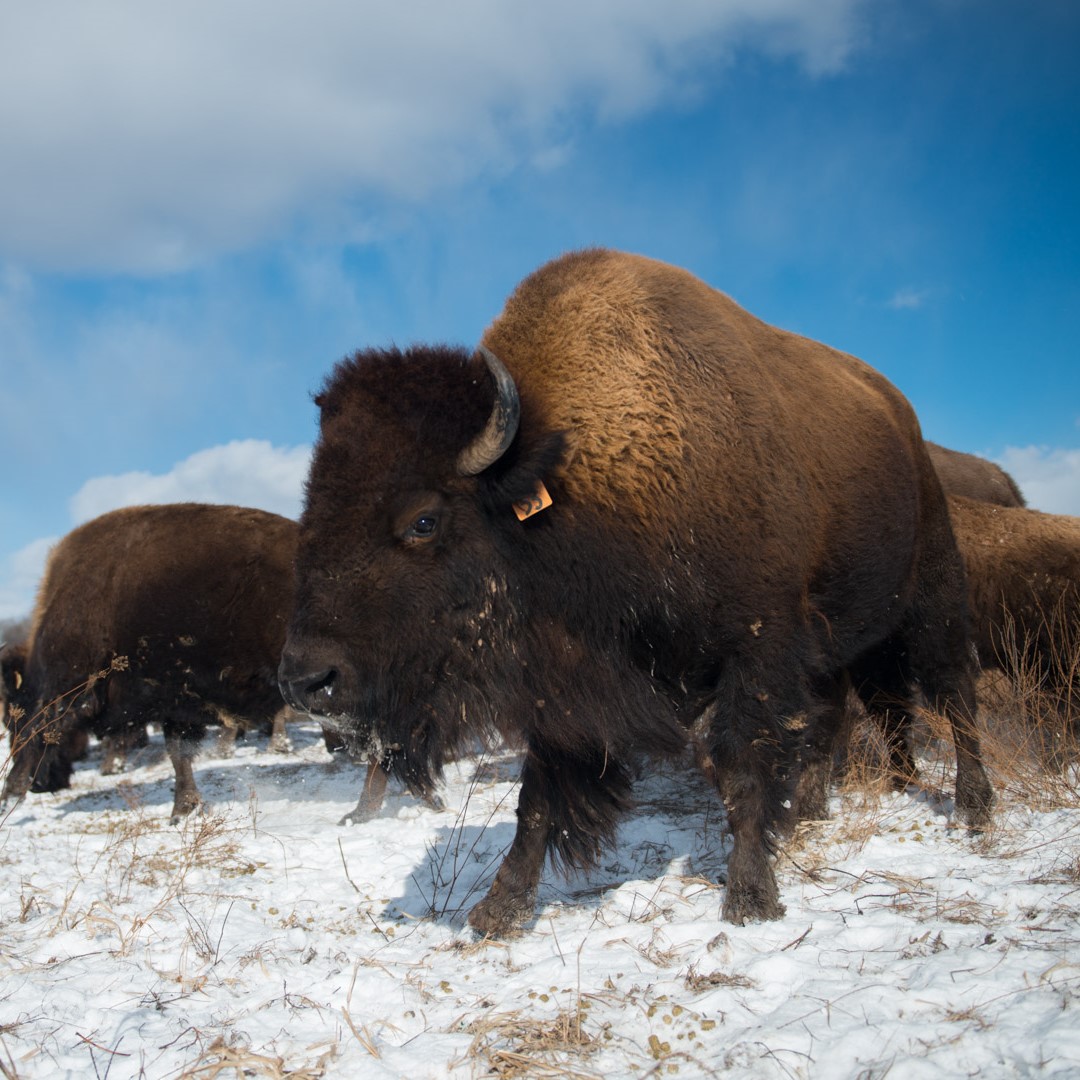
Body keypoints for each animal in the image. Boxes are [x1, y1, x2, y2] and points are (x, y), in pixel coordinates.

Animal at [2, 505, 302, 816]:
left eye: (12, 720)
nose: (42, 785)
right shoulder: (177, 703)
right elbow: (179, 753)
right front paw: (184, 809)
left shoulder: (66, 690)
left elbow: (39, 734)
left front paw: (9, 794)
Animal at [280, 248, 993, 933]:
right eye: (312, 504)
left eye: (423, 520)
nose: (306, 680)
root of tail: (901, 417)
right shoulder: (567, 688)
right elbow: (538, 798)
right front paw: (498, 909)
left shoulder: (759, 650)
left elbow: (742, 769)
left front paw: (751, 898)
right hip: (841, 638)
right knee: (844, 712)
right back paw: (814, 811)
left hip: (931, 596)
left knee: (953, 694)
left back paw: (975, 810)